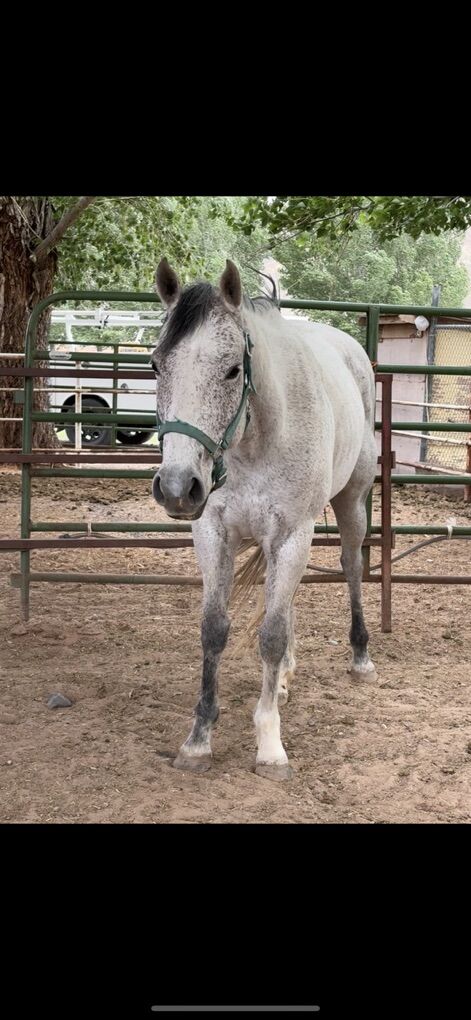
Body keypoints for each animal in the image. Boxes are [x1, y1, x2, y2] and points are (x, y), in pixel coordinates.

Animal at [151, 258, 377, 781]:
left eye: (233, 370)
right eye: (155, 365)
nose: (176, 487)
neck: (256, 439)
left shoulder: (293, 533)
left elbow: (270, 636)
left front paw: (270, 745)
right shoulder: (213, 533)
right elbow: (215, 628)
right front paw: (199, 740)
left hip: (350, 503)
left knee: (352, 567)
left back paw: (360, 655)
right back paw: (286, 679)